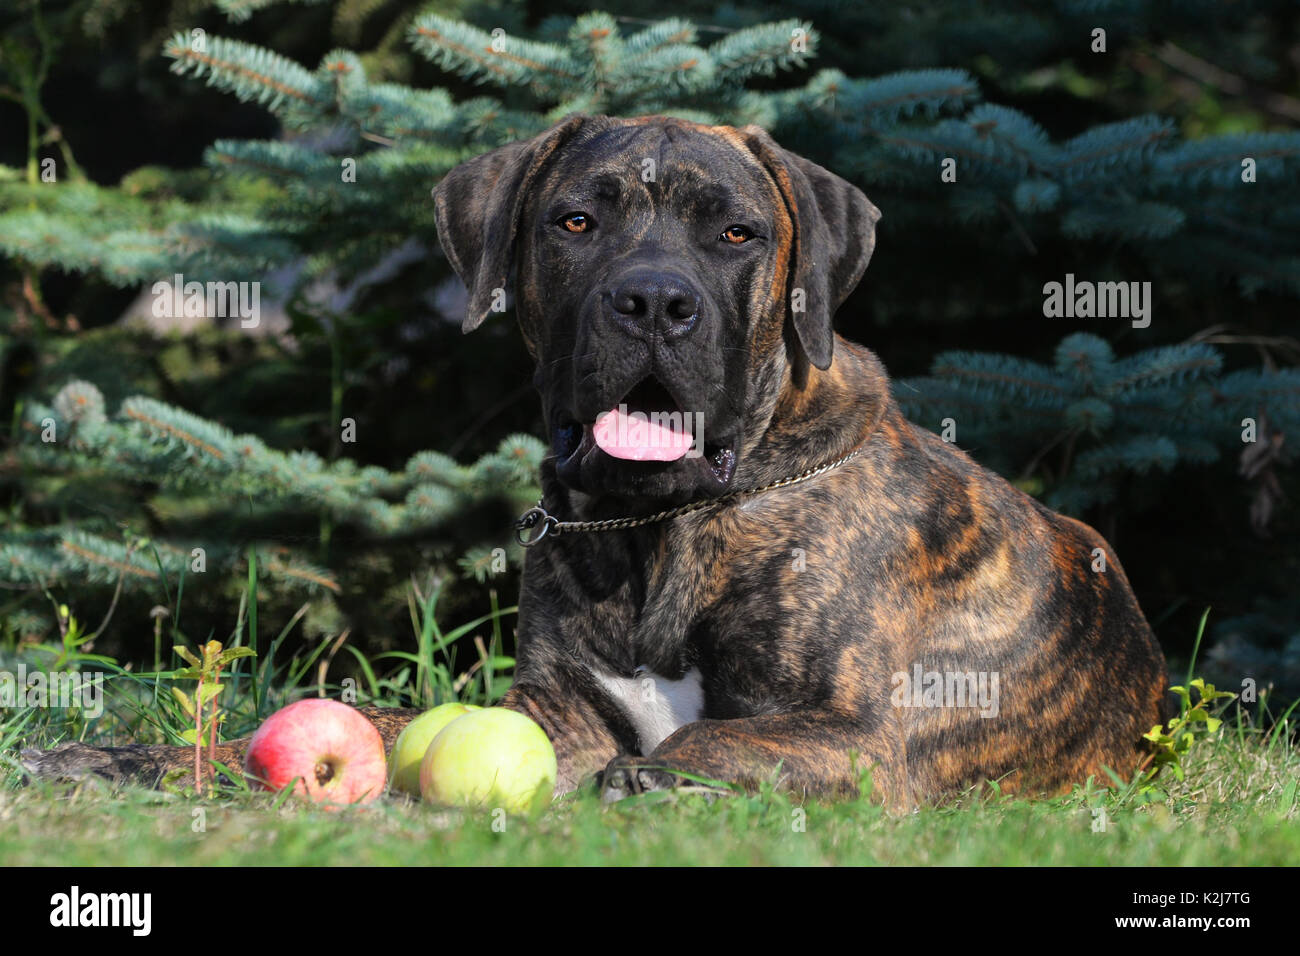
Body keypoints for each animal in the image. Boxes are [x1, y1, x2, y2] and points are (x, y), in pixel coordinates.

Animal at [20, 115, 1175, 811]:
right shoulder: (553, 712)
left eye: (737, 234)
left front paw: (645, 783)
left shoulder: (861, 738)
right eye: (575, 220)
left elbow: (693, 745)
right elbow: (376, 726)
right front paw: (119, 758)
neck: (658, 522)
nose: (654, 299)